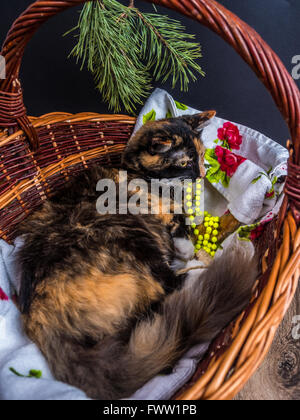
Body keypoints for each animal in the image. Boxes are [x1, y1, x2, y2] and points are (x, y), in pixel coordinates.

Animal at [17, 112, 255, 400]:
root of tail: (46, 325)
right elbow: (177, 223)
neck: (142, 175)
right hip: (131, 236)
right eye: (184, 162)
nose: (199, 175)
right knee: (170, 287)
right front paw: (188, 249)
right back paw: (207, 267)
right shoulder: (152, 208)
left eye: (200, 155)